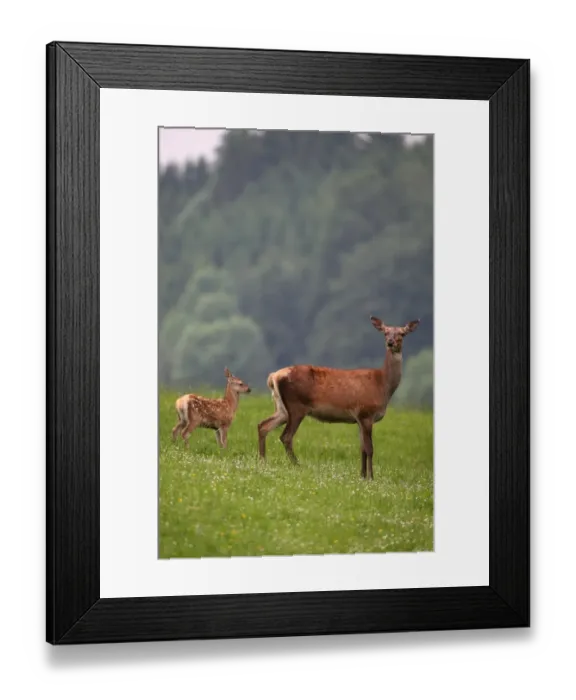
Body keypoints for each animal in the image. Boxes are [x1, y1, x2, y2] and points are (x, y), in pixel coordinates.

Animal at [257, 316, 420, 480]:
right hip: (296, 405)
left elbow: (362, 448)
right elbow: (370, 448)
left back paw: (263, 461)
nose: (390, 342)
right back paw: (297, 465)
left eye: (402, 333)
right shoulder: (366, 413)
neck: (382, 385)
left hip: (282, 408)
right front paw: (371, 478)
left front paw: (362, 476)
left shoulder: (359, 419)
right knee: (286, 436)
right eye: (385, 332)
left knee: (263, 425)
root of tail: (273, 376)